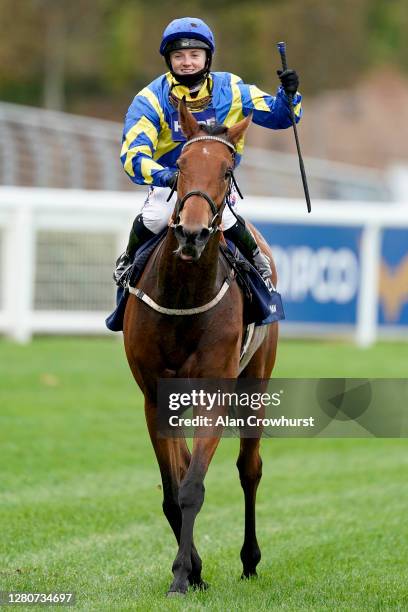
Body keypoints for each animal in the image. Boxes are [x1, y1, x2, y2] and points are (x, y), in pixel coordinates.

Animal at [122, 98, 278, 596]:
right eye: (183, 166)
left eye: (227, 170)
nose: (191, 234)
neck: (183, 298)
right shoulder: (155, 398)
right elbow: (173, 490)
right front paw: (191, 571)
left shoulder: (215, 392)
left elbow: (192, 488)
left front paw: (180, 575)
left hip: (255, 383)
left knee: (250, 468)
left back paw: (249, 561)